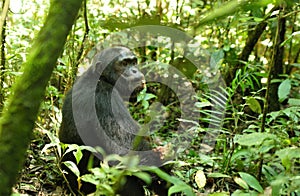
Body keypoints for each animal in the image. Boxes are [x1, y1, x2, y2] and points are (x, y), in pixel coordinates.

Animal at [58, 46, 166, 195]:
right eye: (124, 63)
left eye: (133, 62)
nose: (135, 70)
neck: (101, 79)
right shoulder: (106, 98)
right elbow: (124, 152)